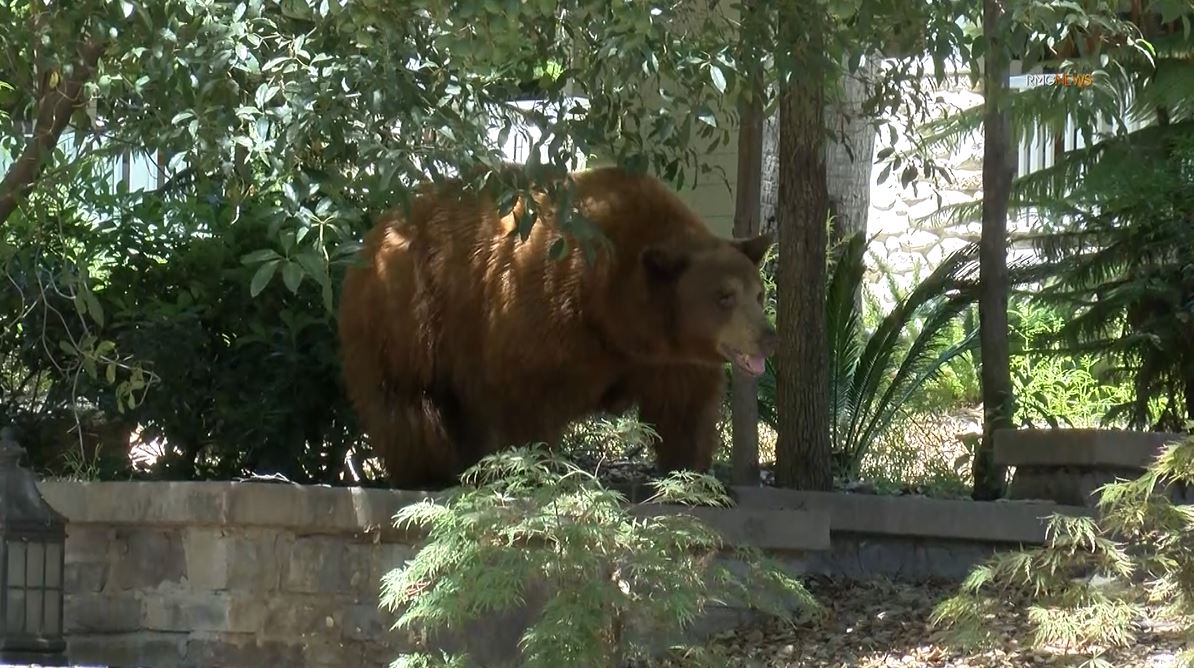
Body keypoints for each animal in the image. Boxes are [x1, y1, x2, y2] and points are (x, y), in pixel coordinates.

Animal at [341, 164, 778, 489]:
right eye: (724, 296)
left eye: (757, 293)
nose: (767, 336)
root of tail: (377, 229)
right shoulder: (545, 313)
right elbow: (527, 394)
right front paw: (538, 467)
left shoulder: (667, 357)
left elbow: (685, 407)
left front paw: (692, 477)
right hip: (408, 316)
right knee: (408, 401)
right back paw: (430, 471)